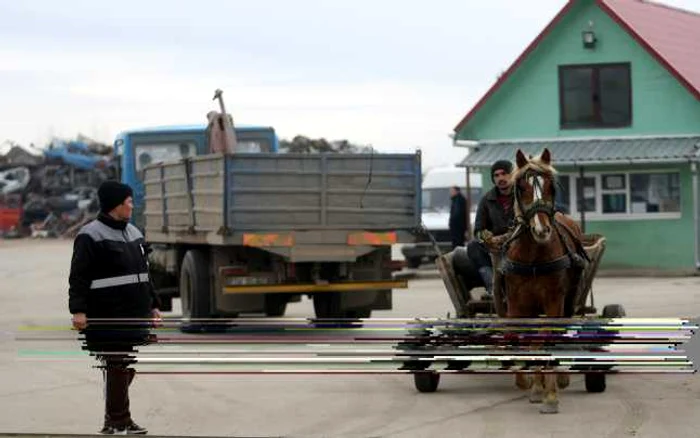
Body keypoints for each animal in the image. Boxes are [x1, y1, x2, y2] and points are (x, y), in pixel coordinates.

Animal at [494, 148, 588, 414]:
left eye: (551, 187)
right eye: (520, 187)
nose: (541, 230)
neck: (533, 256)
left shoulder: (554, 300)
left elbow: (548, 338)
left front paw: (550, 395)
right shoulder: (517, 303)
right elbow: (524, 338)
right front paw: (531, 385)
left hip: (567, 300)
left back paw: (559, 379)